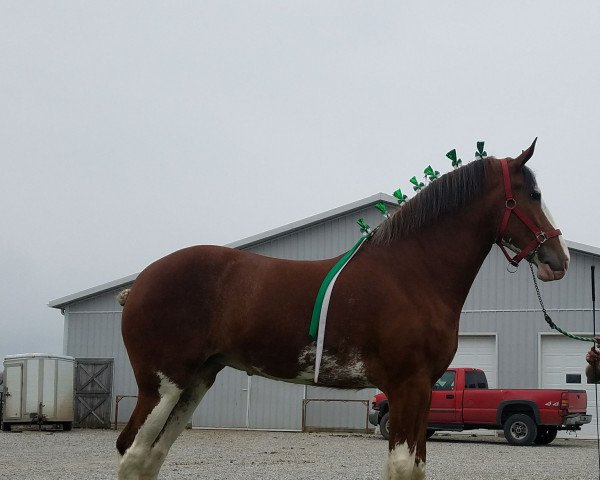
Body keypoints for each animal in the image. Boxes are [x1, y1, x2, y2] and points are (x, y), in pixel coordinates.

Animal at [115, 140, 568, 480]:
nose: (558, 260)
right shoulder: (408, 386)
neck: (411, 272)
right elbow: (402, 467)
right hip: (162, 386)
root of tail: (140, 283)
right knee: (132, 453)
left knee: (150, 457)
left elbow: (416, 467)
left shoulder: (422, 391)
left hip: (195, 382)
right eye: (534, 194)